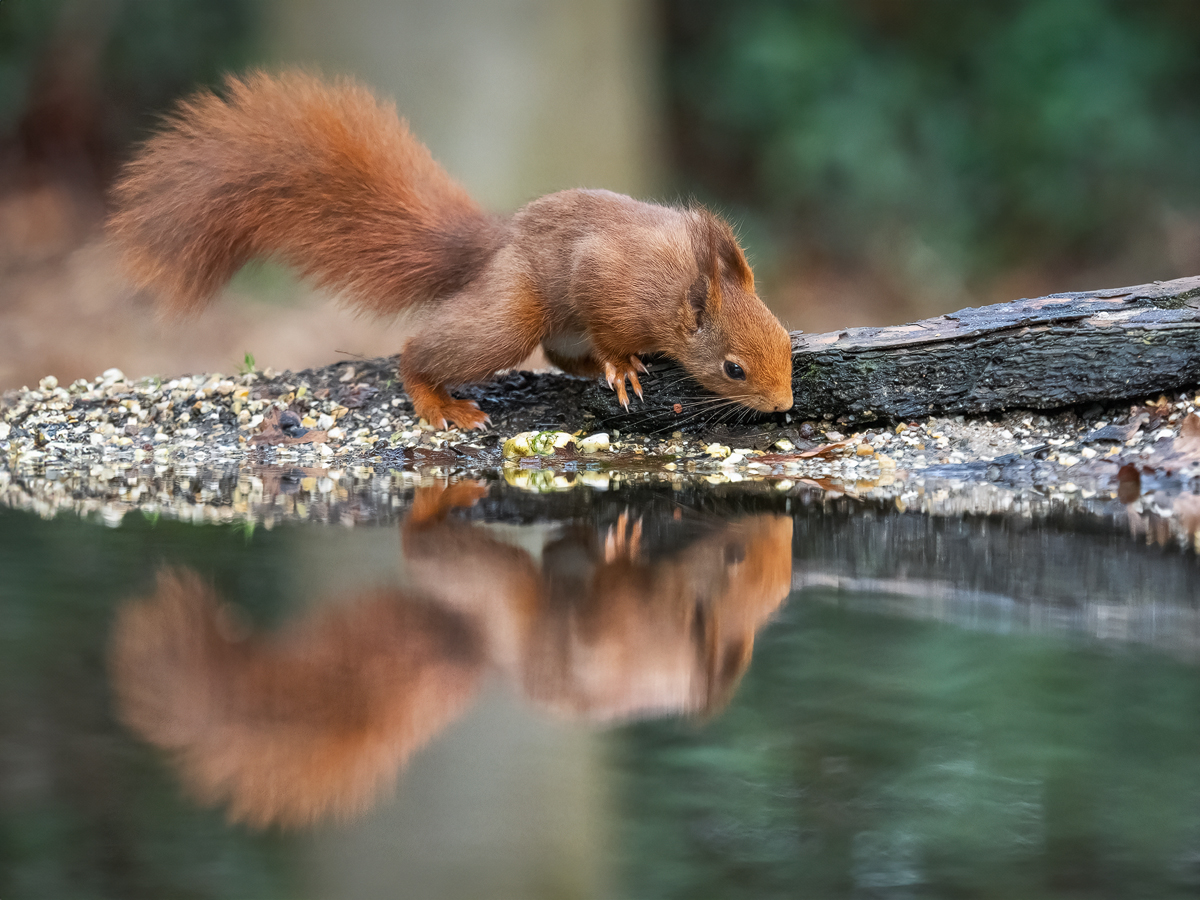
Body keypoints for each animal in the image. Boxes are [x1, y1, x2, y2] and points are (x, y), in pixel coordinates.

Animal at [108, 70, 792, 429]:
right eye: (733, 368)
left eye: (787, 341)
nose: (784, 404)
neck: (678, 287)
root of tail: (497, 242)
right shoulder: (606, 279)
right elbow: (609, 328)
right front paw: (622, 366)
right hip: (511, 313)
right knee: (422, 352)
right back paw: (438, 401)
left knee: (560, 354)